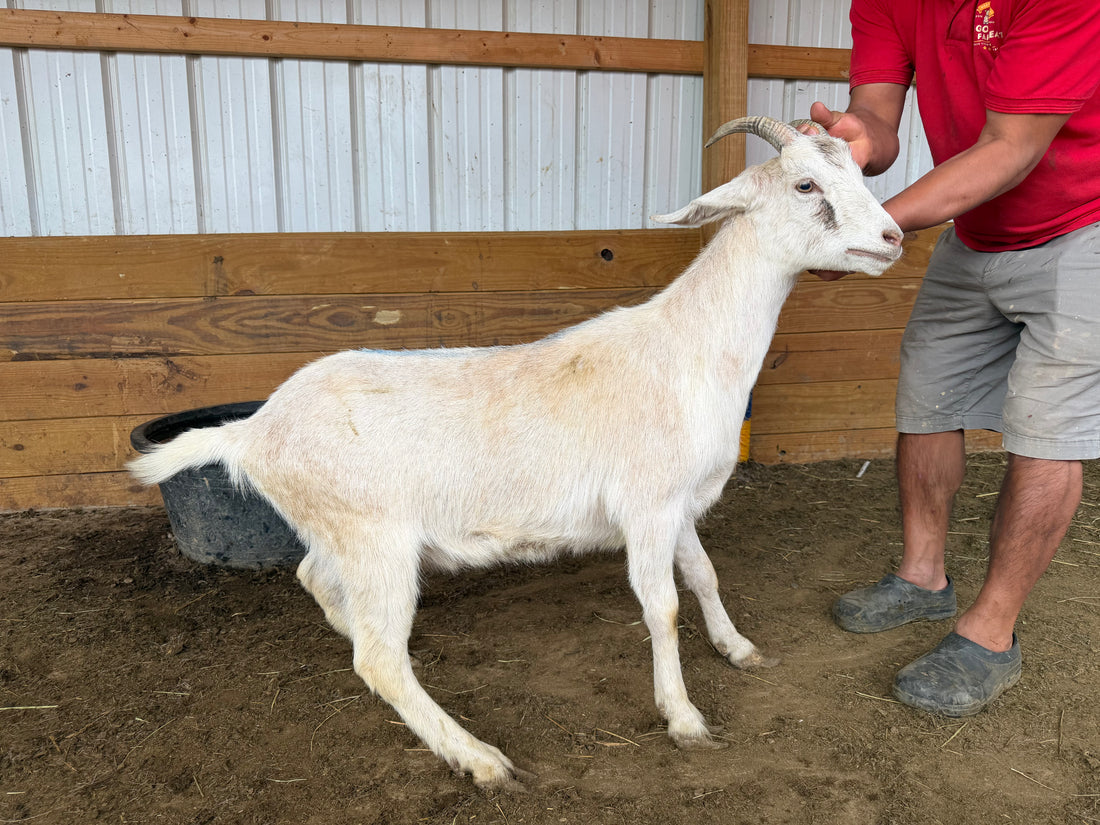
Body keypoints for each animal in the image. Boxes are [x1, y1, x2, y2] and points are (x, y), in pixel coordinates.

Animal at [130, 116, 903, 789]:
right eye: (805, 184)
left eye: (860, 170)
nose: (894, 236)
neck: (687, 351)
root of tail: (252, 431)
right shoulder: (647, 506)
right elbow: (662, 607)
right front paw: (683, 717)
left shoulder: (676, 503)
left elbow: (704, 575)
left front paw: (739, 648)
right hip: (373, 534)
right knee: (377, 660)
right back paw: (479, 758)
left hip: (339, 533)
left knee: (320, 584)